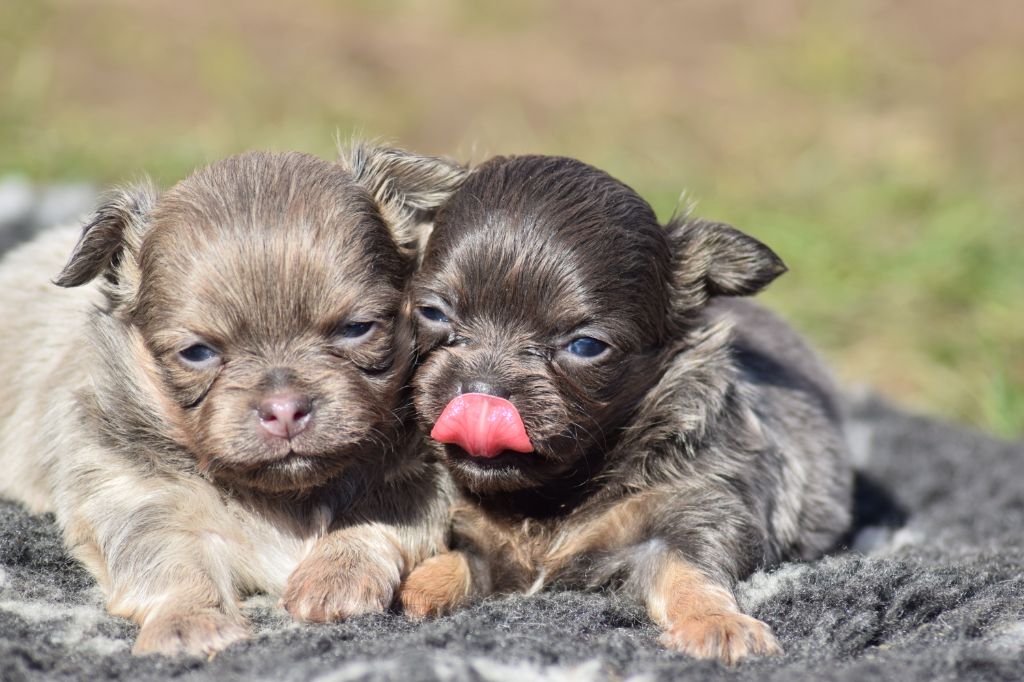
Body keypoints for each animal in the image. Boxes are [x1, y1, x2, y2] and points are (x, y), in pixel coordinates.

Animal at [0, 146, 466, 655]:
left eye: (356, 328)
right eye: (197, 353)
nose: (284, 409)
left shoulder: (420, 476)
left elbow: (377, 514)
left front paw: (336, 574)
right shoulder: (131, 494)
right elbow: (169, 561)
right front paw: (190, 621)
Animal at [399, 155, 856, 663]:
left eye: (585, 345)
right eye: (433, 313)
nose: (481, 395)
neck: (551, 494)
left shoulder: (694, 509)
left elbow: (688, 571)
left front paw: (716, 623)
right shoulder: (472, 531)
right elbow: (462, 558)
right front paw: (422, 586)